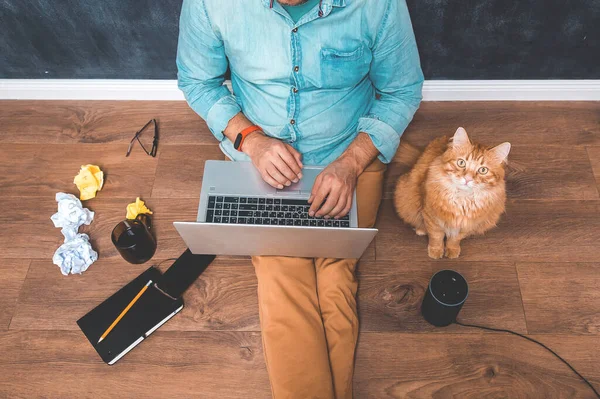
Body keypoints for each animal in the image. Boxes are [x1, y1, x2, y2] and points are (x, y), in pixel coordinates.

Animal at [394, 128, 510, 260]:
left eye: (483, 170)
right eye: (461, 163)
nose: (467, 179)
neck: (462, 199)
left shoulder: (465, 225)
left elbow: (454, 240)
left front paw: (452, 251)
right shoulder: (431, 217)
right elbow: (436, 237)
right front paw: (435, 252)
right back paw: (421, 230)